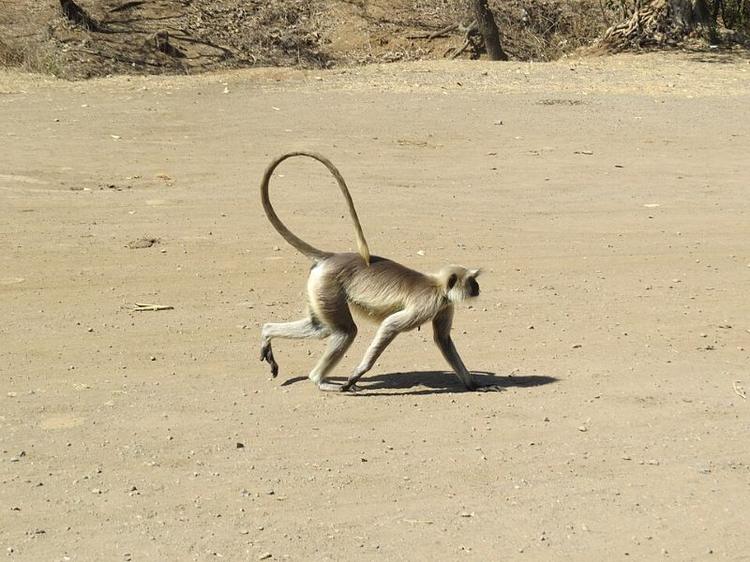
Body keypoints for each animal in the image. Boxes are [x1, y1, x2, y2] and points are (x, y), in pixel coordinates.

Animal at [259, 151, 495, 393]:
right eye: (471, 282)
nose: (477, 288)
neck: (438, 286)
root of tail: (330, 257)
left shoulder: (444, 305)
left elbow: (443, 339)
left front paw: (474, 385)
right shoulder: (427, 303)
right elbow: (390, 325)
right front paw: (357, 373)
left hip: (318, 288)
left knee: (320, 328)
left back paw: (267, 333)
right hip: (328, 285)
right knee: (345, 331)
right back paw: (320, 380)